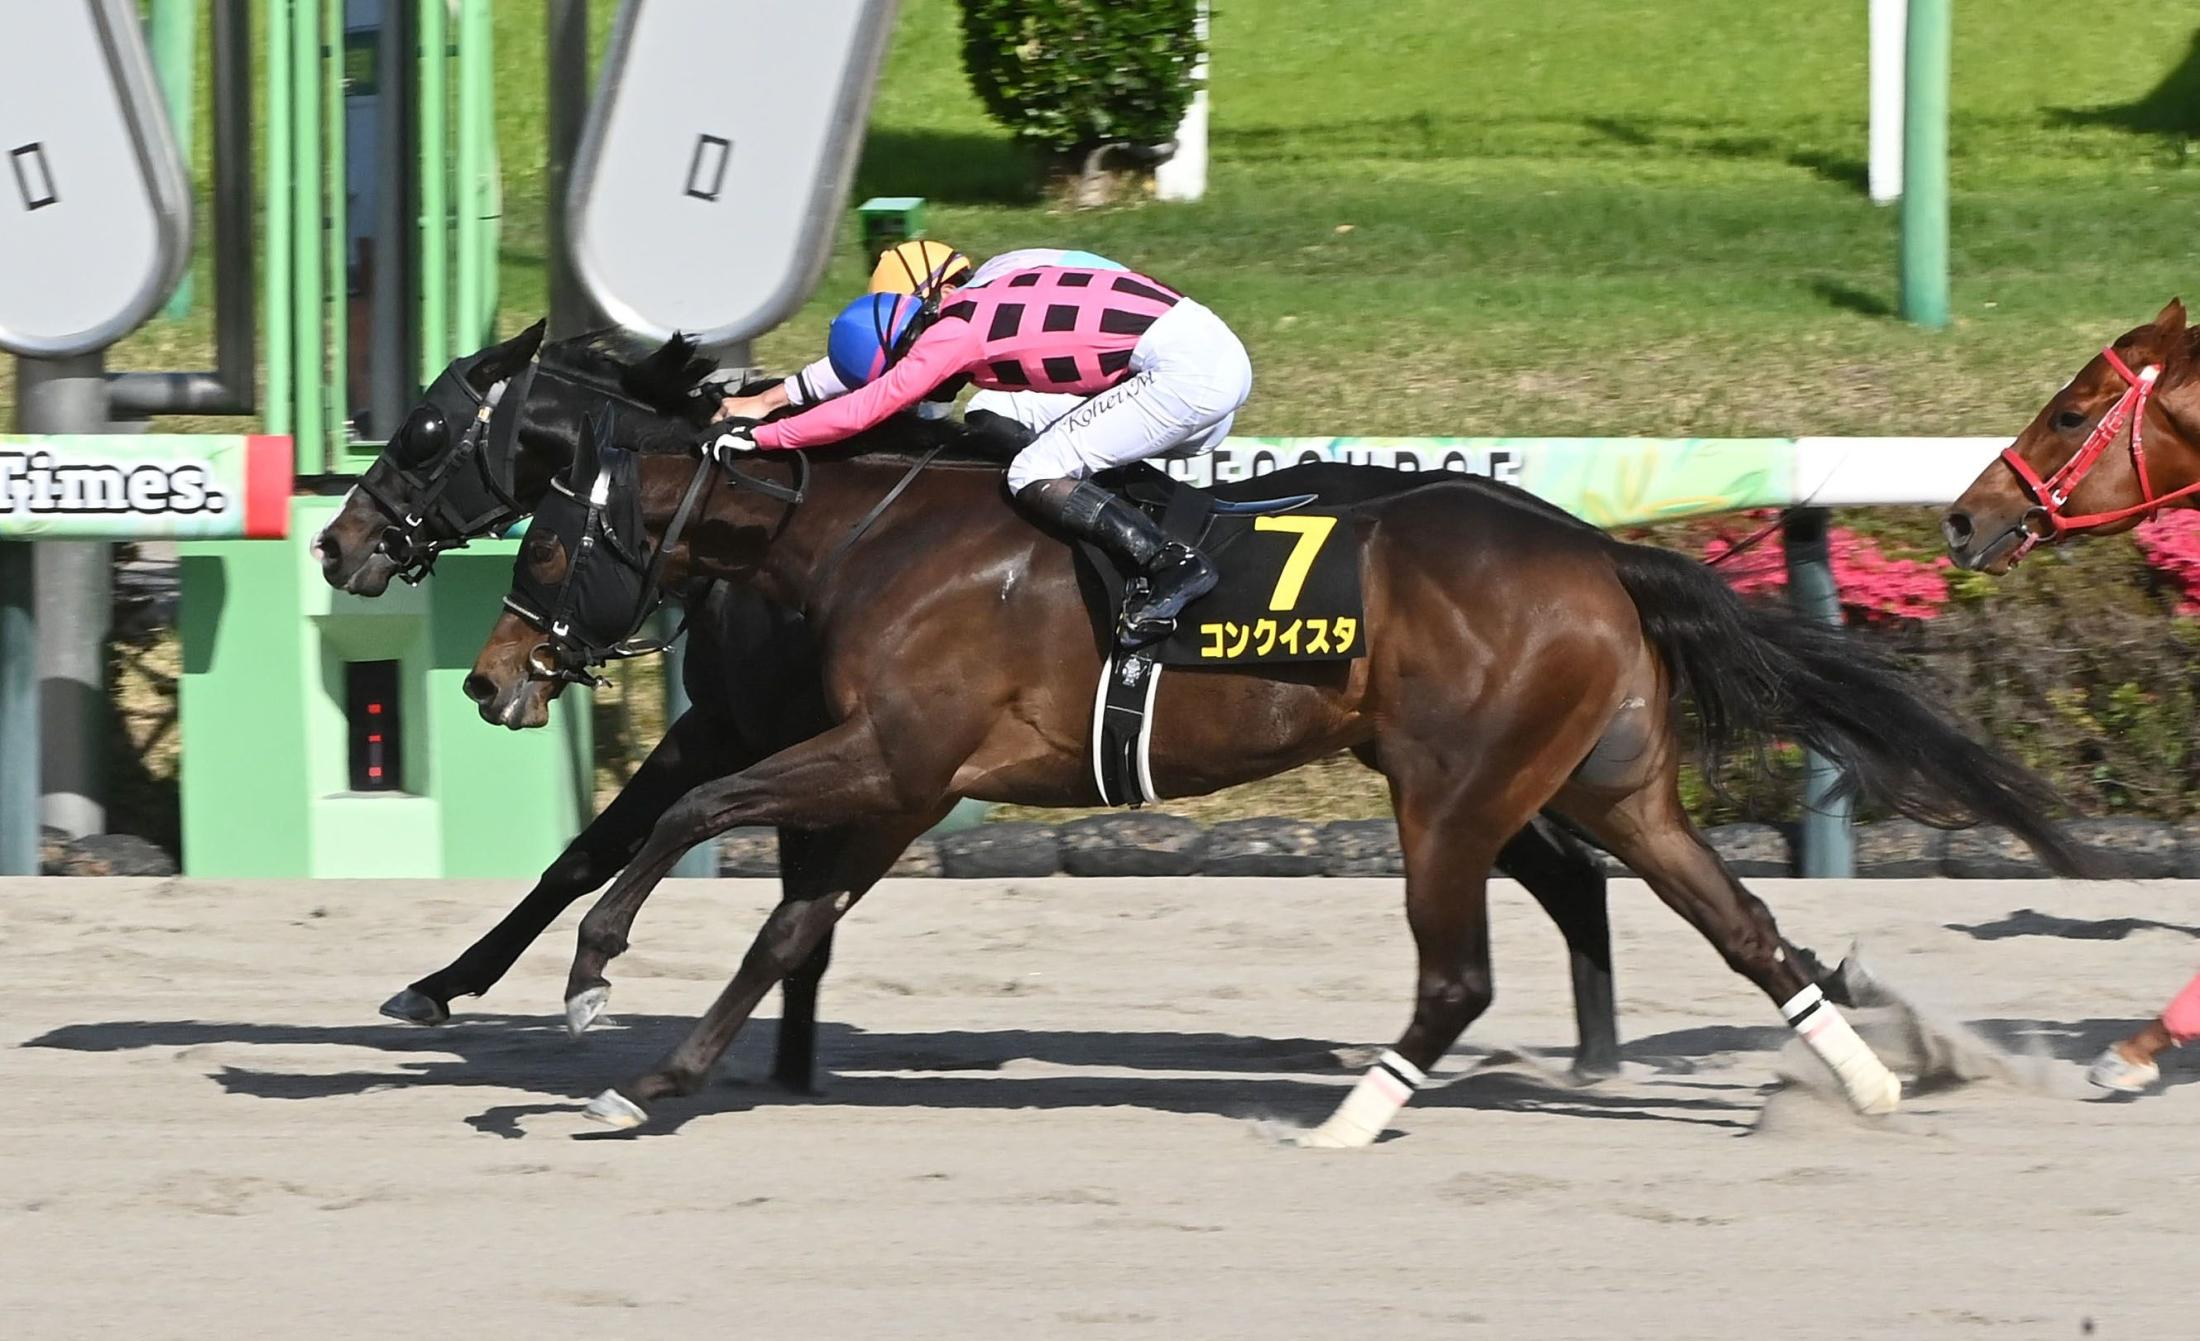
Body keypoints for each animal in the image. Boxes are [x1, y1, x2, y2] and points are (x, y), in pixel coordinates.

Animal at [307, 325, 1620, 1087]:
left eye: (422, 432)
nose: (336, 544)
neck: (806, 534)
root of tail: (1565, 535)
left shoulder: (820, 739)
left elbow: (695, 855)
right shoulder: (752, 727)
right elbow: (597, 854)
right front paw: (444, 984)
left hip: (1443, 761)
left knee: (1558, 870)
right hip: (1436, 758)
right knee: (1567, 870)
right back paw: (1592, 1056)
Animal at [462, 360, 2090, 1141]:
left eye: (542, 542)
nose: (487, 680)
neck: (874, 533)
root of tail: (1595, 552)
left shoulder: (891, 754)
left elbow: (697, 817)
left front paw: (590, 977)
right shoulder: (901, 784)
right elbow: (786, 925)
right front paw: (652, 1080)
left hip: (1454, 790)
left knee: (1464, 969)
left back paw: (1353, 1120)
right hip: (1615, 782)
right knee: (1744, 926)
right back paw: (1866, 1087)